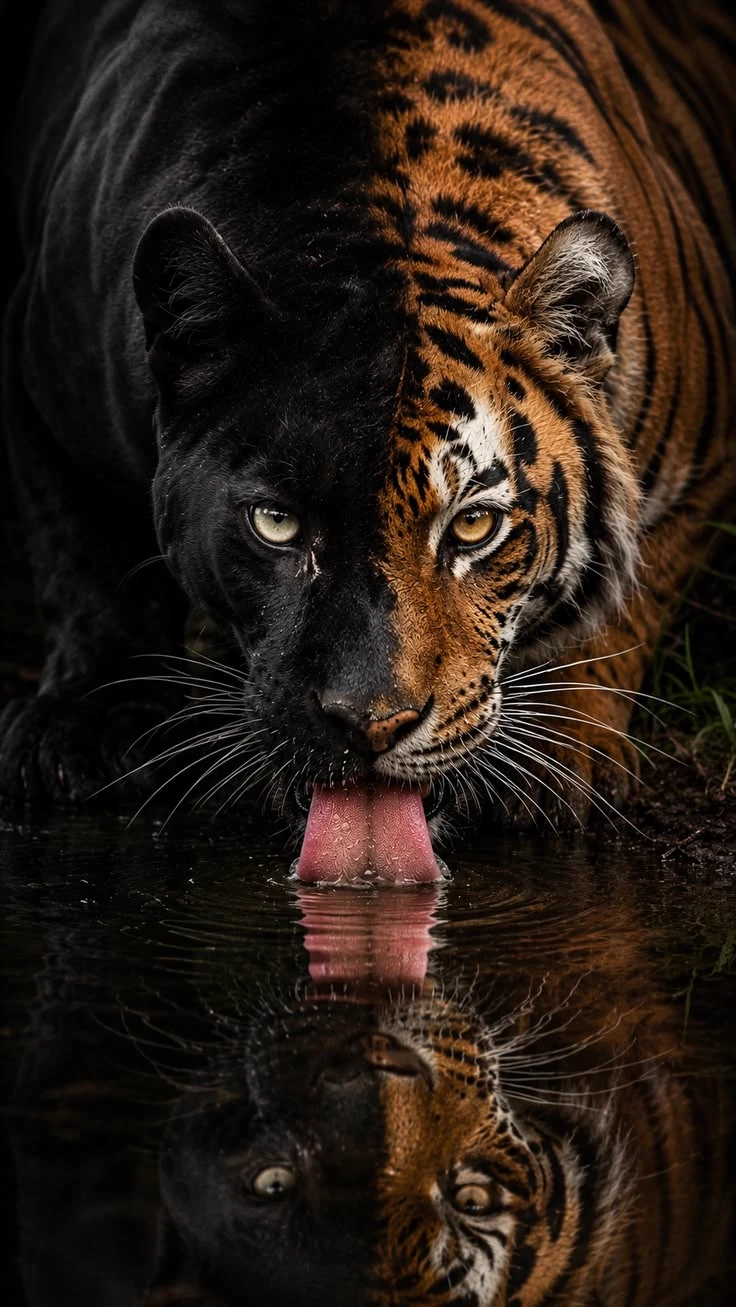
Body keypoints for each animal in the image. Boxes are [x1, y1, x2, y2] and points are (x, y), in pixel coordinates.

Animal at [2, 0, 734, 877]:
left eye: (474, 525)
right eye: (275, 523)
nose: (371, 721)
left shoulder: (700, 457)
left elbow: (621, 596)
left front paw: (558, 752)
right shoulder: (38, 364)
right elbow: (85, 560)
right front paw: (90, 724)